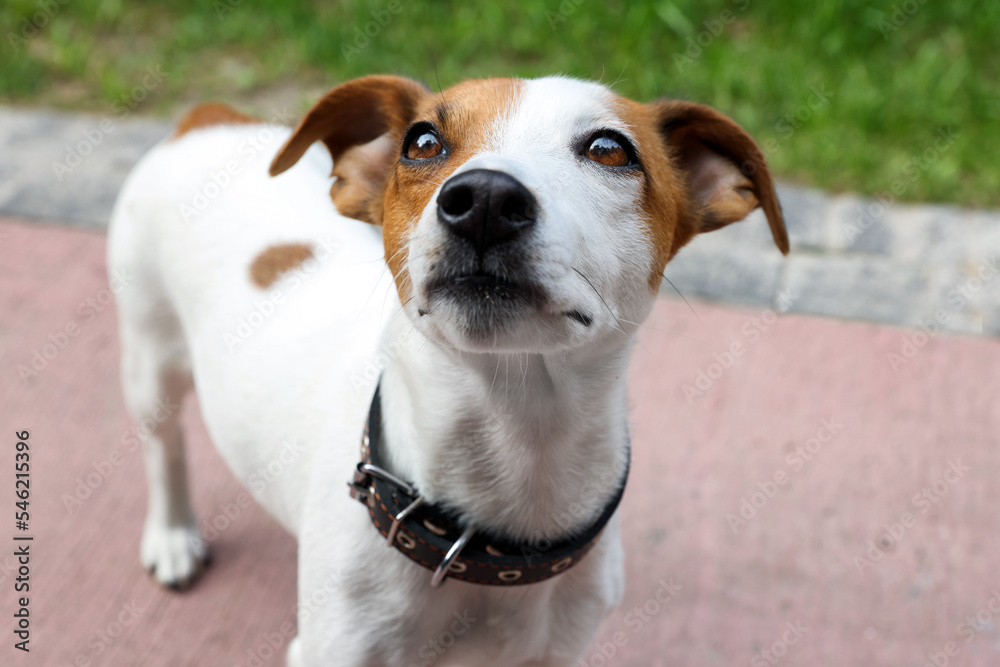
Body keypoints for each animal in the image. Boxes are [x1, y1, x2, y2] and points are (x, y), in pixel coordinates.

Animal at [109, 74, 788, 667]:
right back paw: (172, 536)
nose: (484, 198)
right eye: (423, 142)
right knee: (163, 446)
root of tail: (209, 120)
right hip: (149, 356)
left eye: (609, 148)